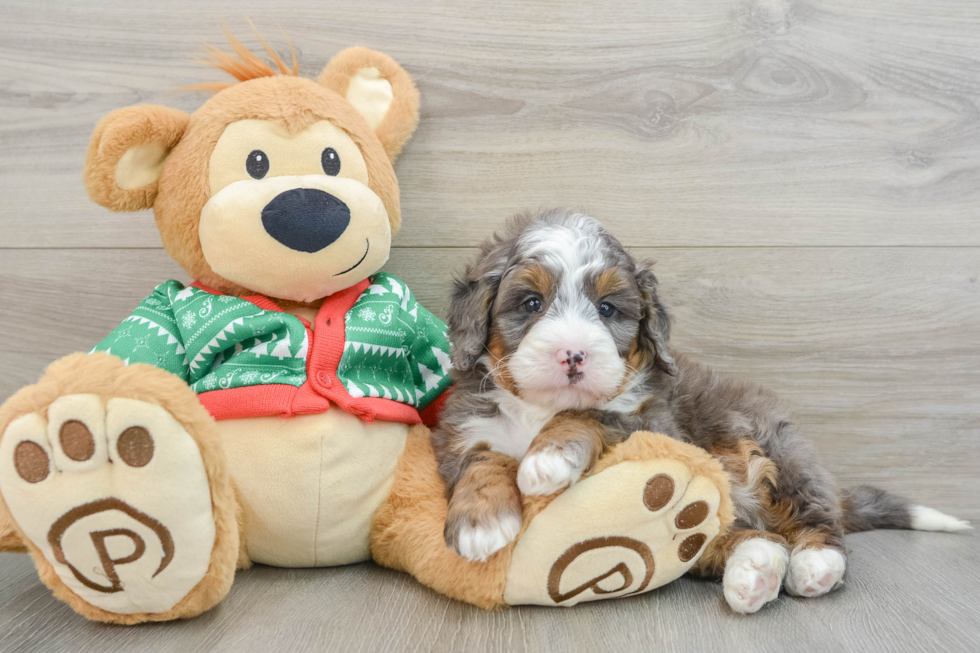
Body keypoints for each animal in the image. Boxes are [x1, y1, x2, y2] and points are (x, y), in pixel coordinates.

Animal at [432, 209, 968, 612]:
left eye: (607, 309)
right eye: (531, 302)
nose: (574, 354)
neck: (539, 410)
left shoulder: (651, 420)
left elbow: (592, 414)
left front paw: (547, 459)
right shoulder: (463, 428)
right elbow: (481, 458)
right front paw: (482, 522)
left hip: (782, 452)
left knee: (814, 522)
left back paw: (814, 565)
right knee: (732, 541)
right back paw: (754, 568)